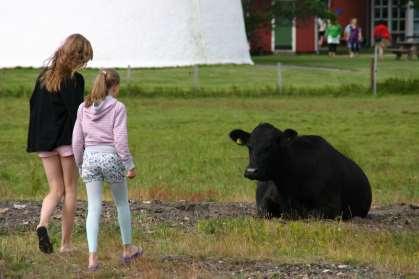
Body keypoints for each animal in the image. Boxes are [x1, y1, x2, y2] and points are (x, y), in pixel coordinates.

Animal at [231, 123, 372, 220]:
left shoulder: (332, 206)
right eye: (249, 146)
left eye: (269, 146)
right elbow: (266, 212)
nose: (251, 171)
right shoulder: (265, 202)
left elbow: (311, 214)